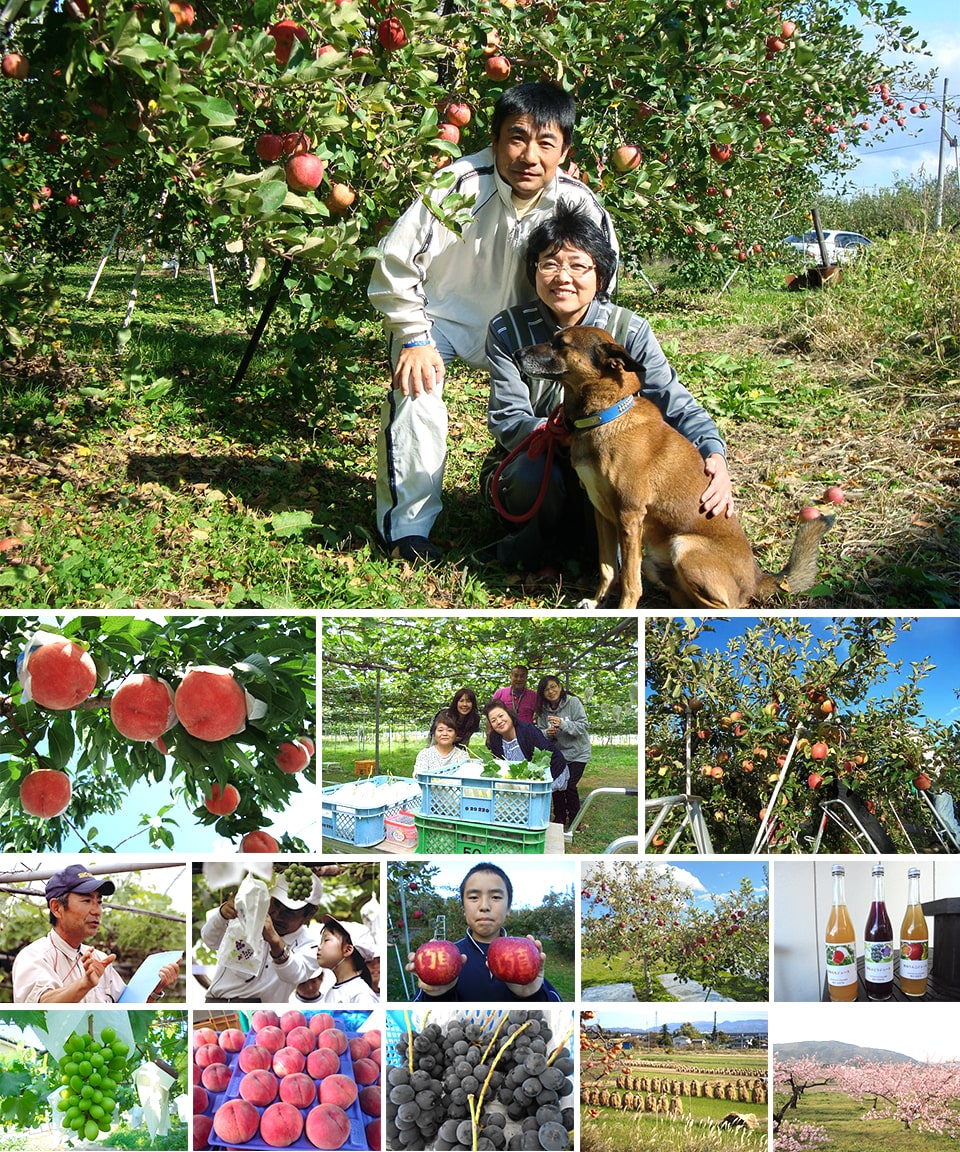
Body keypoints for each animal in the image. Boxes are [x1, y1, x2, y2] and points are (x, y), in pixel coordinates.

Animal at [513, 327, 829, 612]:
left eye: (561, 344)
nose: (517, 354)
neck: (606, 416)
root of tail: (756, 578)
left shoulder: (629, 515)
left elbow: (629, 580)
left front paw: (623, 610)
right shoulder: (602, 513)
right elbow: (608, 568)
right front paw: (597, 601)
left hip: (684, 547)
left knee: (729, 606)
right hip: (655, 560)